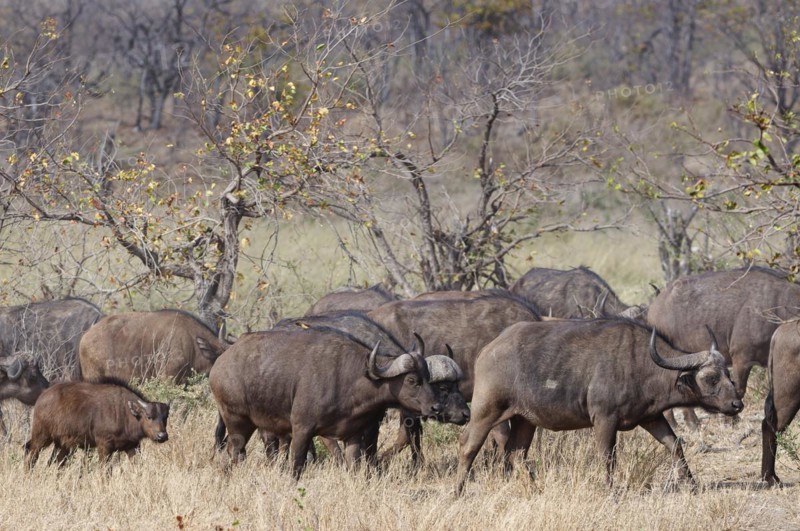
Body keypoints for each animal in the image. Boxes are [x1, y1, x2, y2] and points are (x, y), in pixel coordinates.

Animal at [24, 378, 170, 467]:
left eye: (165, 417)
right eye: (149, 416)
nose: (162, 436)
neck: (125, 413)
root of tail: (42, 397)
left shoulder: (132, 447)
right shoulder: (104, 446)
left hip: (64, 445)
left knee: (56, 462)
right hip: (41, 437)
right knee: (31, 456)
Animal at [209, 327, 442, 479]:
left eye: (427, 376)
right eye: (411, 380)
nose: (436, 407)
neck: (351, 379)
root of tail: (221, 362)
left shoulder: (353, 435)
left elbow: (354, 466)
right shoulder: (302, 429)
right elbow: (296, 466)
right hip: (237, 421)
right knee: (235, 452)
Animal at [455, 318, 743, 495]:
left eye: (727, 374)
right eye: (710, 378)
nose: (737, 404)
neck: (641, 365)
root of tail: (487, 351)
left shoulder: (651, 418)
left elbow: (675, 445)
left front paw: (691, 484)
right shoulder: (604, 420)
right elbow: (608, 457)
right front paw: (610, 490)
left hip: (525, 420)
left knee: (516, 454)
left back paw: (536, 489)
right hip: (485, 412)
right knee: (468, 446)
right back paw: (458, 491)